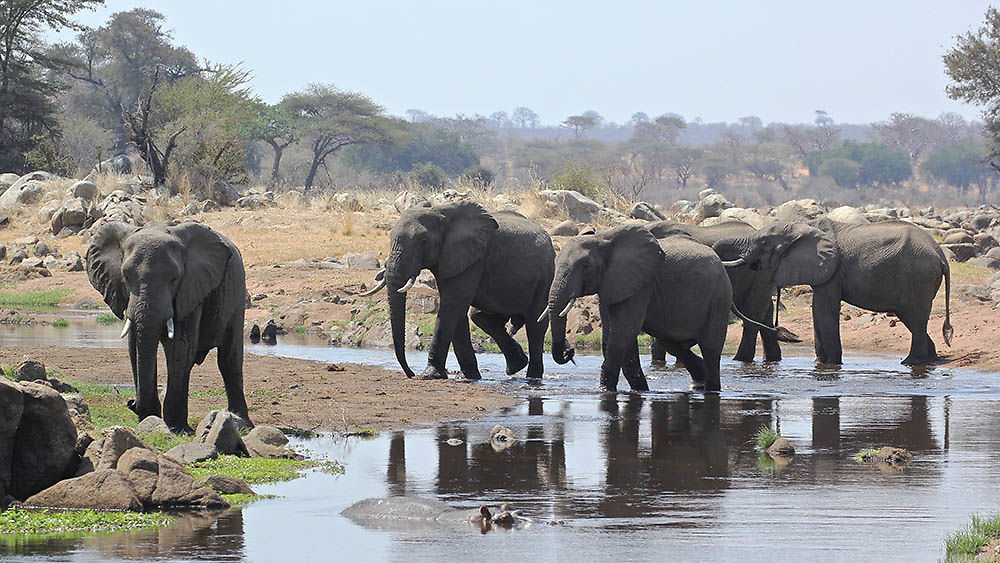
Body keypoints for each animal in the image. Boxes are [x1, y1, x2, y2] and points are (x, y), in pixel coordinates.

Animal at [88, 220, 252, 432]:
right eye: (126, 276)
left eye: (174, 278)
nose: (131, 403)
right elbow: (135, 348)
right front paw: (149, 419)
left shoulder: (190, 289)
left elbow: (179, 347)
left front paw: (176, 428)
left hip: (238, 294)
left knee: (229, 360)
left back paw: (241, 422)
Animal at [360, 200, 572, 382]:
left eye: (423, 241)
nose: (410, 374)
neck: (440, 212)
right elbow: (456, 310)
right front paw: (467, 376)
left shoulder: (473, 258)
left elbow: (452, 305)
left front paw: (430, 375)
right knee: (481, 317)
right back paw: (516, 366)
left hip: (545, 276)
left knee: (535, 326)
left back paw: (533, 377)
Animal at [548, 224, 736, 392]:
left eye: (585, 265)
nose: (570, 351)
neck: (604, 238)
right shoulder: (612, 284)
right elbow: (615, 335)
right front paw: (639, 390)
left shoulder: (642, 284)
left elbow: (624, 331)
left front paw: (604, 390)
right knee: (671, 343)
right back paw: (698, 384)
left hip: (719, 296)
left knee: (710, 348)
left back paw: (710, 388)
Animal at [724, 218, 948, 368]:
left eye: (763, 242)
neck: (800, 227)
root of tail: (940, 254)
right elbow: (817, 311)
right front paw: (819, 362)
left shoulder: (832, 270)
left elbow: (824, 310)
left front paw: (831, 364)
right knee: (912, 318)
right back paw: (930, 359)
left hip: (918, 278)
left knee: (916, 319)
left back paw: (910, 362)